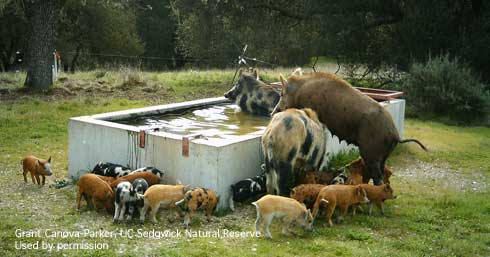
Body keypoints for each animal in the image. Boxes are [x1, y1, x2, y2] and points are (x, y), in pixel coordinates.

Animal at [274, 72, 426, 184]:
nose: (274, 112)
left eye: (282, 94)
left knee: (378, 177)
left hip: (371, 152)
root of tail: (396, 135)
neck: (299, 91)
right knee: (382, 173)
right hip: (384, 155)